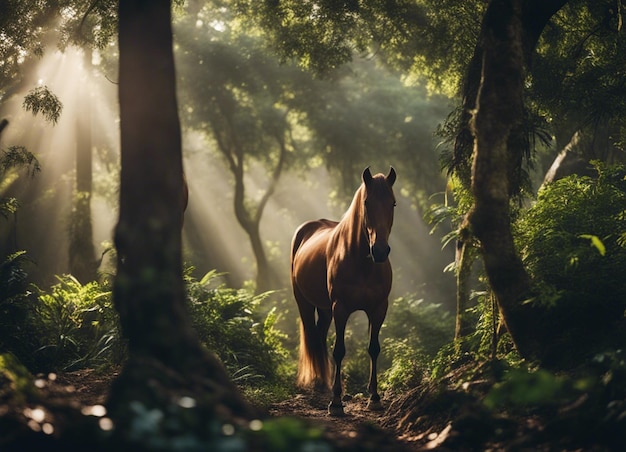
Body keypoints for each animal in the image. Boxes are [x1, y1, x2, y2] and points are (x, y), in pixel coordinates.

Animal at [292, 167, 394, 416]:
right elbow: (338, 350)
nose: (380, 251)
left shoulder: (379, 309)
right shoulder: (341, 308)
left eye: (393, 203)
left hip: (325, 309)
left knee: (319, 336)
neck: (362, 262)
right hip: (305, 303)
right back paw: (319, 385)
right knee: (312, 334)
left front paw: (375, 398)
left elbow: (374, 348)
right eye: (366, 202)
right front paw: (336, 402)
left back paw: (322, 383)